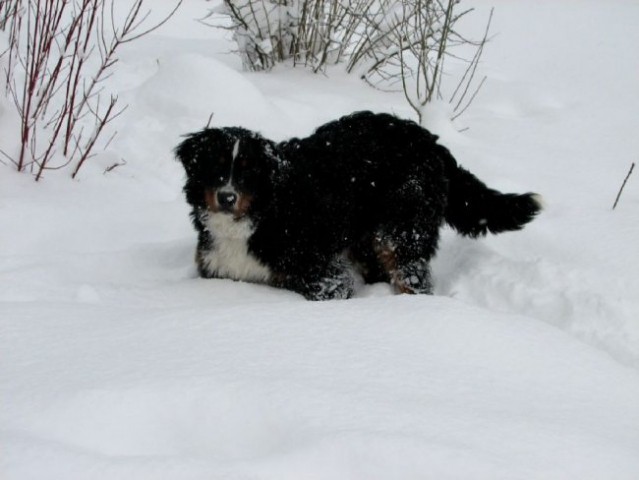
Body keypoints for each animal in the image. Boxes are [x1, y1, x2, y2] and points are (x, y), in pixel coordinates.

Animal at [174, 111, 540, 300]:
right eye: (215, 166)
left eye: (248, 170)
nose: (227, 197)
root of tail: (428, 139)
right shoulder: (216, 269)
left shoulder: (326, 277)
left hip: (402, 231)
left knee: (413, 277)